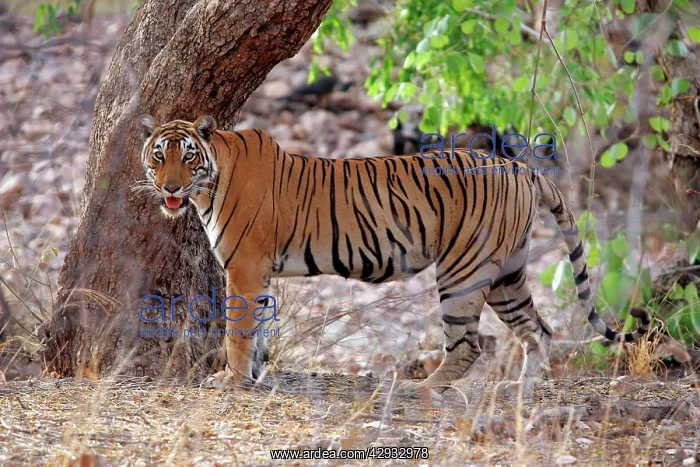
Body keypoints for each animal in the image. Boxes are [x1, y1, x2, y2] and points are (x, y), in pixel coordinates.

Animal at [137, 114, 651, 395]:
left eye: (186, 156)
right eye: (159, 156)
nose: (171, 188)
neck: (211, 178)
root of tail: (519, 168)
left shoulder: (244, 267)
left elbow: (239, 331)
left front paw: (232, 379)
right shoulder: (257, 273)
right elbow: (260, 325)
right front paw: (256, 375)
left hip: (462, 272)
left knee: (467, 344)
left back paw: (425, 388)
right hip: (509, 274)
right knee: (538, 331)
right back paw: (520, 389)